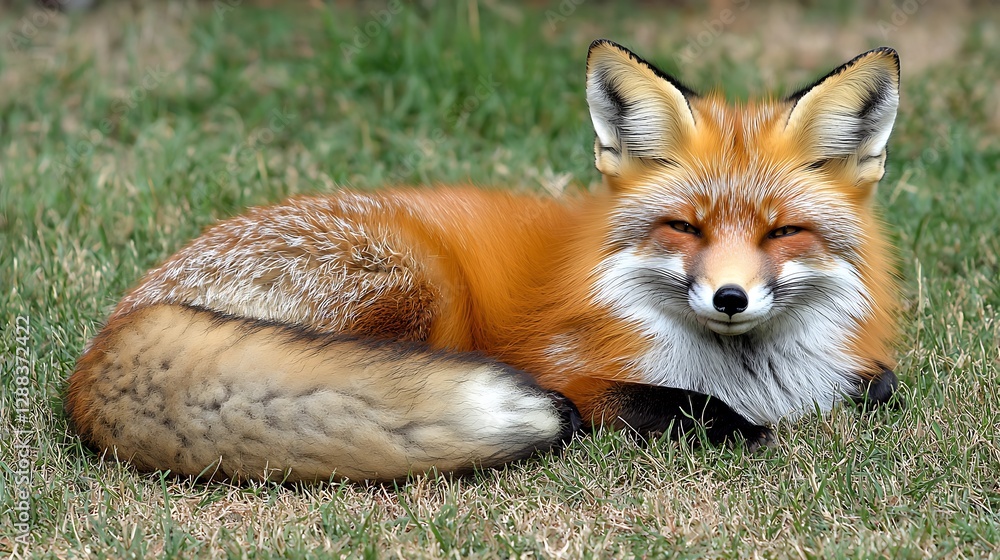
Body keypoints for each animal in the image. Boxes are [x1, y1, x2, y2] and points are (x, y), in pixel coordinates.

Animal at [67, 40, 902, 483]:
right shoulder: (575, 373)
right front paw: (738, 424)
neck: (750, 374)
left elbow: (881, 386)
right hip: (417, 282)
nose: (731, 298)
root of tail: (113, 335)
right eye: (683, 228)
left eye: (782, 232)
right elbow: (690, 411)